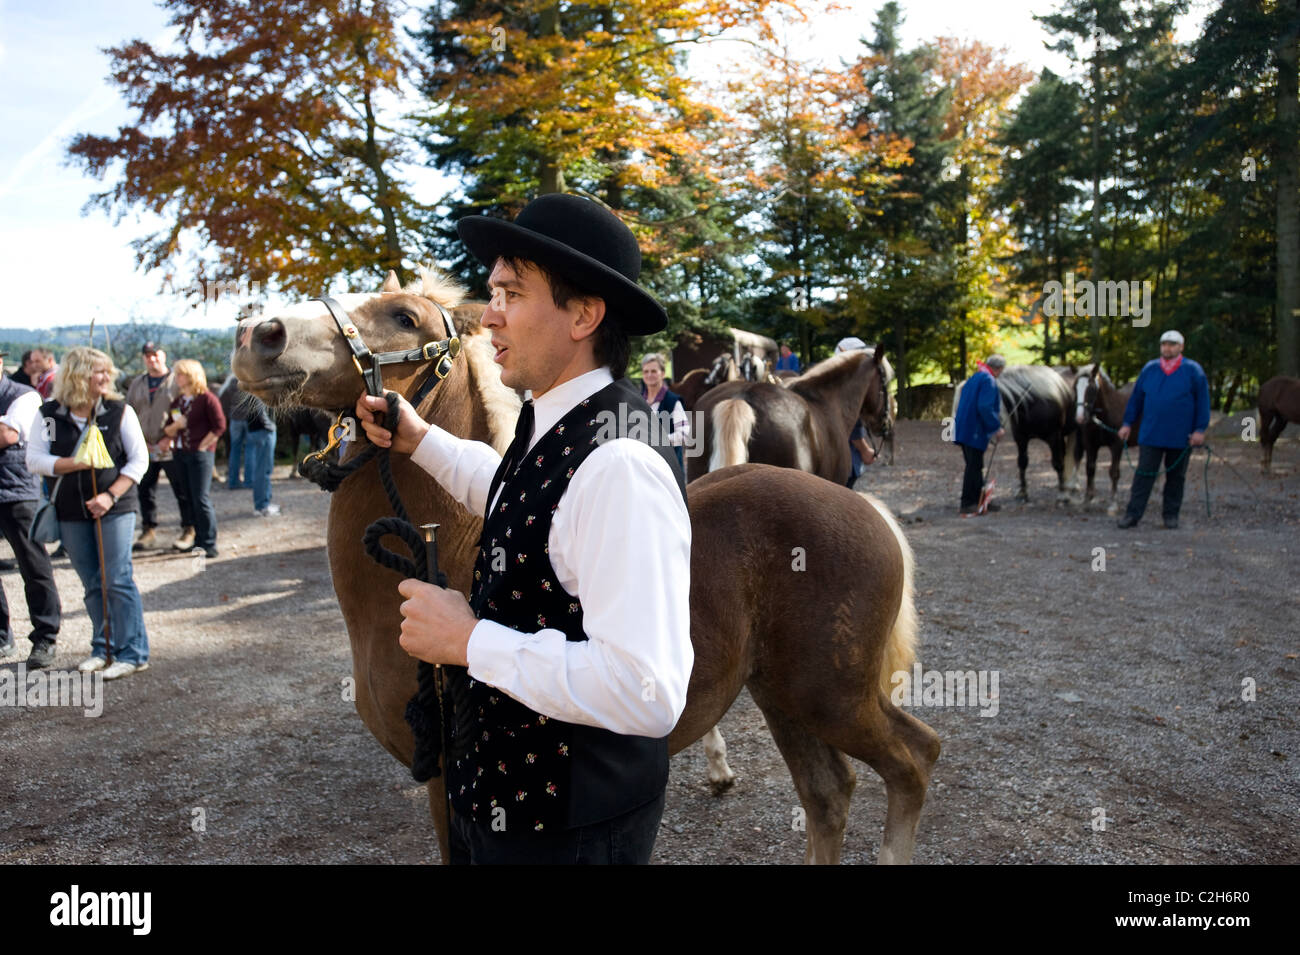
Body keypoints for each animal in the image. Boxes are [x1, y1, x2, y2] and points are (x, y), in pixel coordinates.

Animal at [233, 268, 941, 867]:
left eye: (405, 317)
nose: (258, 336)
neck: (455, 549)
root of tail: (863, 508)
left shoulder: (451, 789)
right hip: (786, 697)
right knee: (829, 795)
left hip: (833, 697)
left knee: (914, 759)